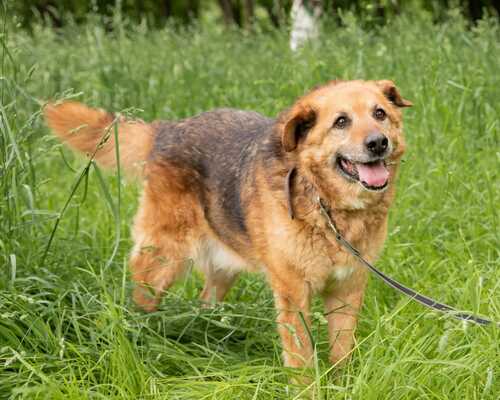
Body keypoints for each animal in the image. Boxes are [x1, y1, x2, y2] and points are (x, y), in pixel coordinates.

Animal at [45, 79, 411, 368]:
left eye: (380, 114)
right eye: (341, 122)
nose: (378, 143)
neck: (327, 207)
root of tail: (168, 128)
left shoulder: (347, 292)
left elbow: (341, 358)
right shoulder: (294, 298)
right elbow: (303, 365)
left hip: (222, 268)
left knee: (205, 301)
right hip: (164, 260)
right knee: (141, 300)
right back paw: (141, 337)